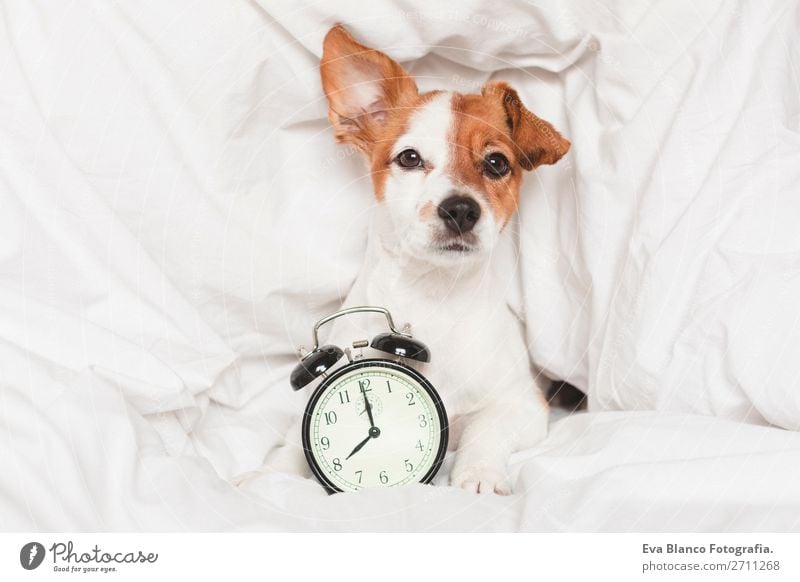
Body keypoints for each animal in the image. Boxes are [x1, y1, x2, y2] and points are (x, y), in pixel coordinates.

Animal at [262, 24, 568, 498]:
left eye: (497, 163)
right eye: (409, 158)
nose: (460, 209)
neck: (431, 294)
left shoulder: (523, 404)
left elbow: (486, 428)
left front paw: (478, 473)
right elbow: (295, 444)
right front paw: (269, 475)